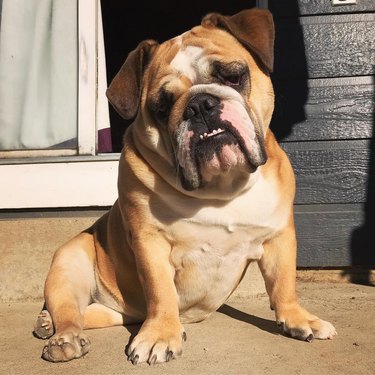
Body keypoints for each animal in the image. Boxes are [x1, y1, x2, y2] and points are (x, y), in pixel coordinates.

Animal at [33, 8, 338, 366]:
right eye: (162, 106)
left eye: (233, 77)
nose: (200, 104)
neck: (221, 187)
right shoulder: (150, 243)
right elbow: (160, 291)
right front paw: (161, 334)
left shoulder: (279, 237)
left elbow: (283, 283)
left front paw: (298, 319)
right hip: (69, 265)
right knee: (70, 311)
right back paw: (61, 336)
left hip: (113, 309)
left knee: (91, 314)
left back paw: (47, 323)